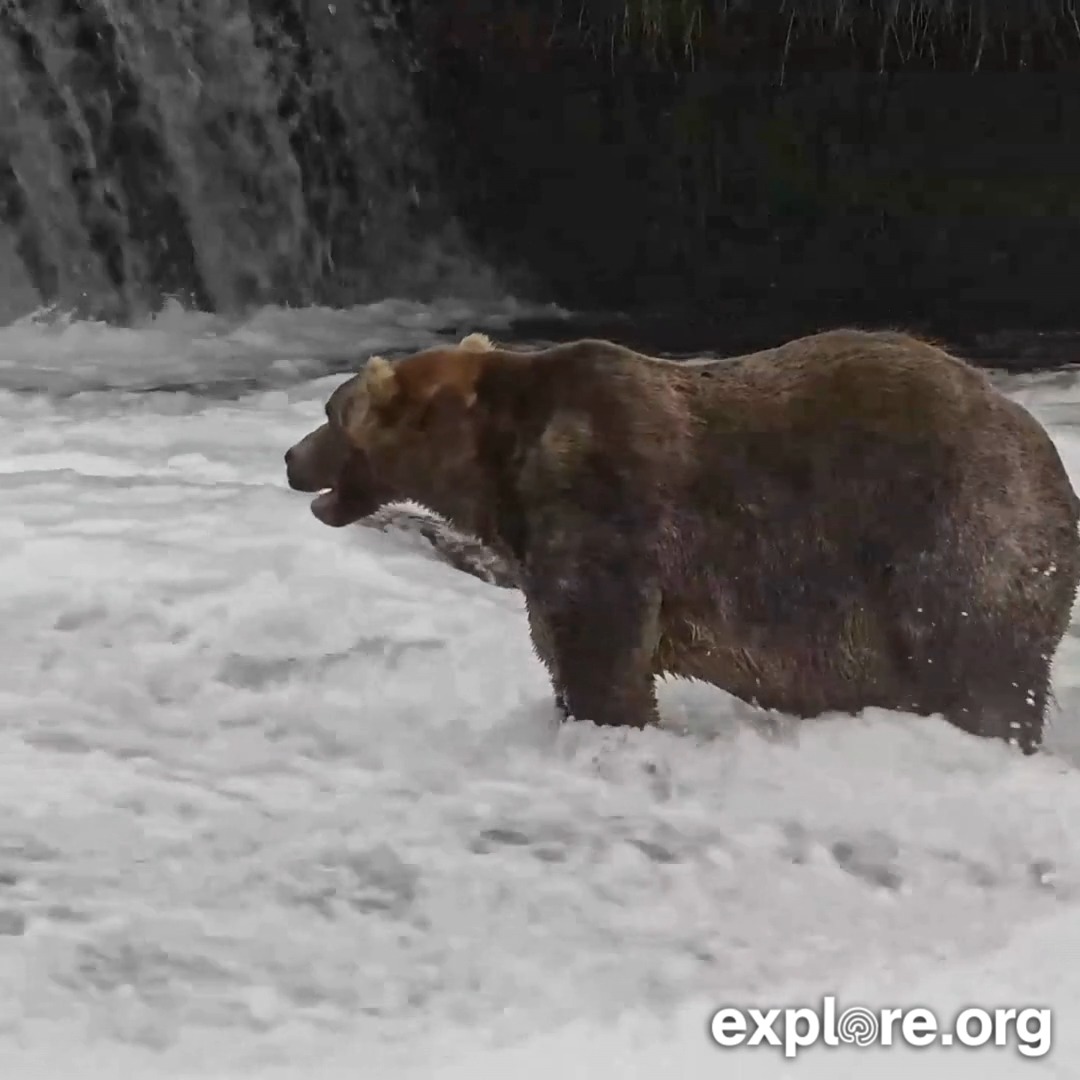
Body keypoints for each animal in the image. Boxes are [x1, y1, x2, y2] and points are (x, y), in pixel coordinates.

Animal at [284, 328, 1080, 755]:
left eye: (330, 412)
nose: (291, 457)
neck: (496, 465)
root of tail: (1049, 458)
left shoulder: (603, 505)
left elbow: (599, 653)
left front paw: (606, 722)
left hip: (959, 531)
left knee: (978, 668)